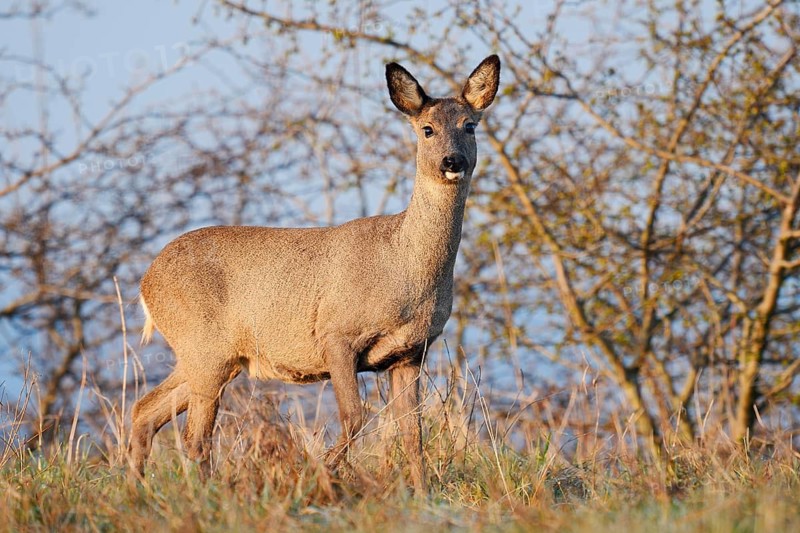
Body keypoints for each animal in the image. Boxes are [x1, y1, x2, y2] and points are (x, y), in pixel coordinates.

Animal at [129, 55, 500, 494]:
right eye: (427, 129)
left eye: (469, 125)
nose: (452, 161)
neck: (405, 267)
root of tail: (146, 283)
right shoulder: (335, 334)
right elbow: (355, 417)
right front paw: (315, 475)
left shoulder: (409, 353)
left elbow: (413, 432)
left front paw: (423, 495)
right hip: (205, 347)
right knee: (194, 437)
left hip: (211, 356)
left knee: (145, 410)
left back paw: (135, 488)